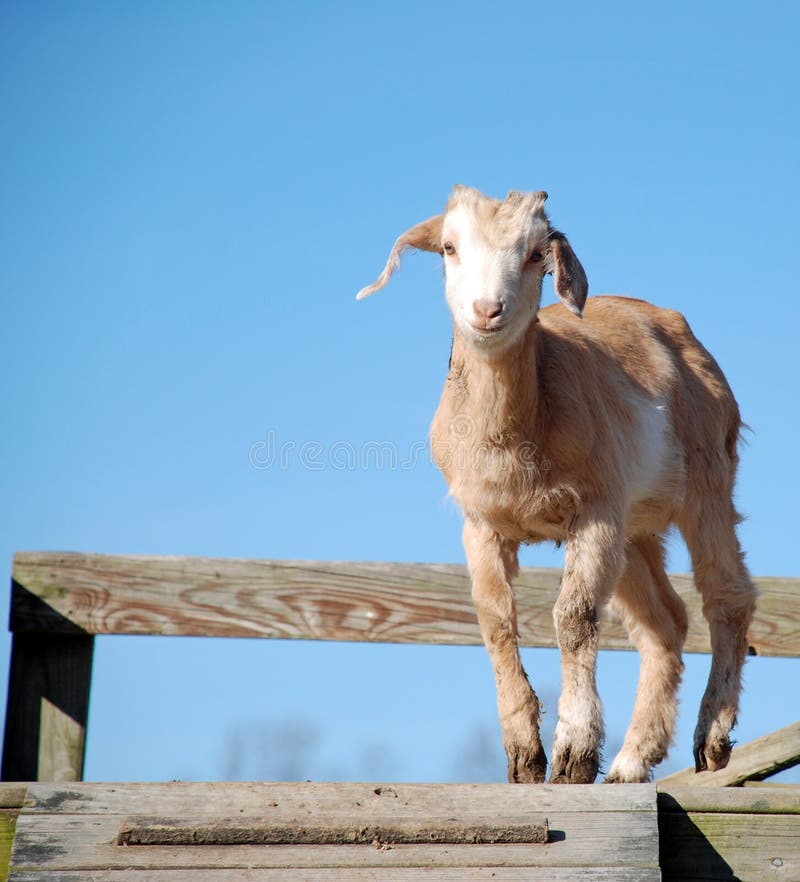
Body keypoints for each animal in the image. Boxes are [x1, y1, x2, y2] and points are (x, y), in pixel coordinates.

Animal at [356, 187, 756, 784]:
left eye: (535, 255)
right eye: (448, 247)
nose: (487, 310)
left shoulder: (594, 510)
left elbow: (574, 618)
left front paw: (573, 753)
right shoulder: (480, 524)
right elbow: (496, 622)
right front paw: (525, 755)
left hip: (707, 473)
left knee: (727, 598)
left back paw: (710, 738)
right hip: (635, 524)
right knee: (665, 622)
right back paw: (631, 762)